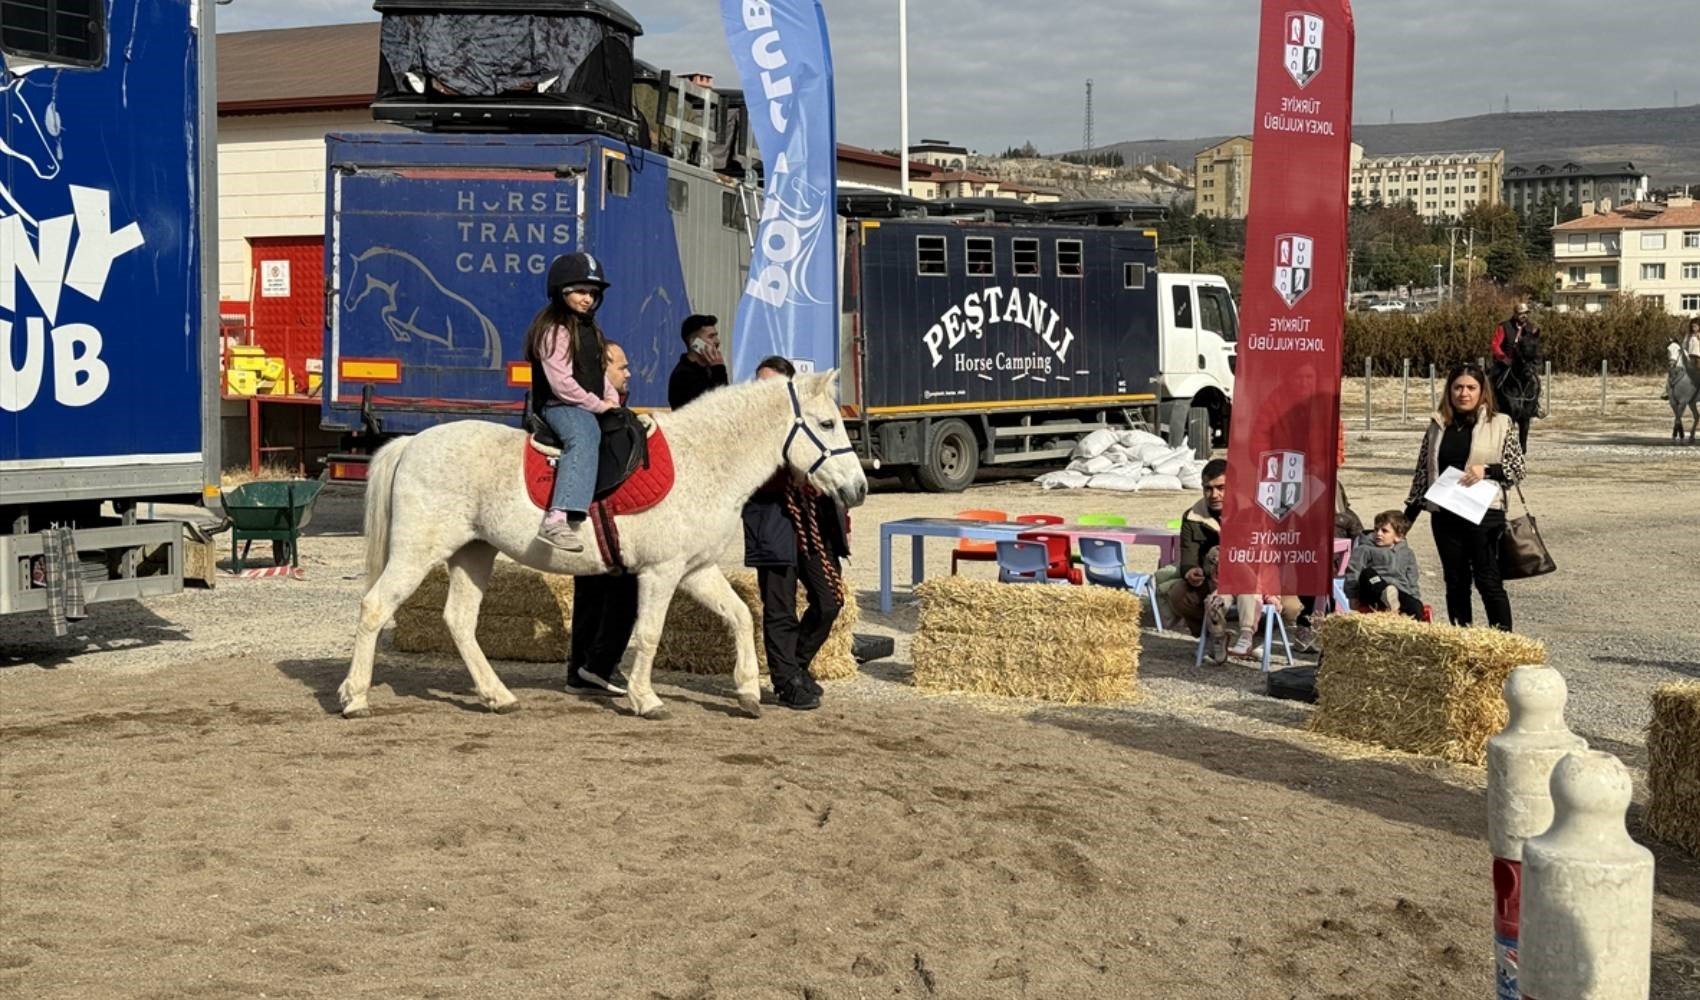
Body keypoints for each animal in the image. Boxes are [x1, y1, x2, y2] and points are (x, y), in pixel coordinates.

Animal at [346, 367, 877, 717]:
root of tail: (411, 444)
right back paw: (355, 697)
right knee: (374, 607)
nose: (858, 488)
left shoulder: (695, 570)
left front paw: (748, 692)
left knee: (459, 621)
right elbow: (650, 634)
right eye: (827, 424)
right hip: (418, 553)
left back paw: (498, 696)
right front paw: (646, 699)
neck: (702, 458)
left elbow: (741, 615)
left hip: (472, 554)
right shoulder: (661, 573)